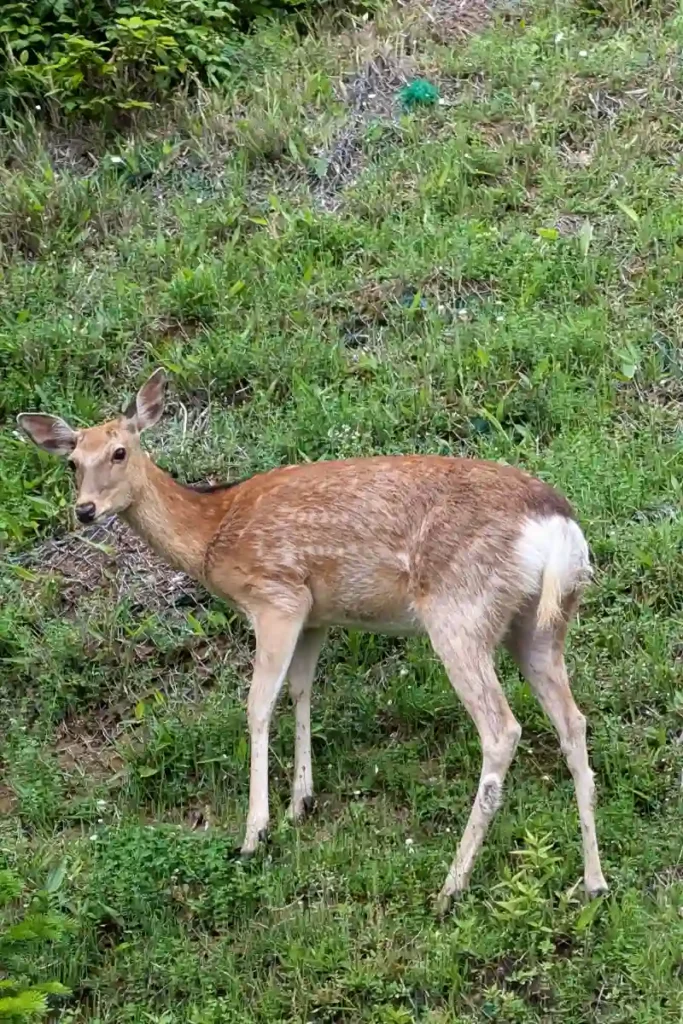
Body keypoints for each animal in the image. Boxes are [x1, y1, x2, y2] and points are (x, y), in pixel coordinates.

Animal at [18, 368, 610, 913]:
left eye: (119, 451)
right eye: (72, 462)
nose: (85, 510)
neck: (213, 531)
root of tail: (559, 532)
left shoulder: (277, 596)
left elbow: (259, 705)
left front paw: (254, 832)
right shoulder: (318, 614)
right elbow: (302, 690)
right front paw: (300, 801)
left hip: (460, 612)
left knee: (502, 729)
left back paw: (451, 886)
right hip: (539, 625)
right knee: (573, 722)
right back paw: (593, 881)